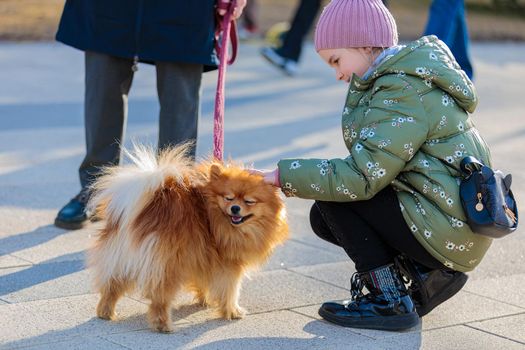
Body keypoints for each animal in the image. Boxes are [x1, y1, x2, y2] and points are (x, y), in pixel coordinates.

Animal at [87, 144, 288, 332]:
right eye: (229, 198)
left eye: (249, 201)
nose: (235, 209)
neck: (211, 212)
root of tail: (141, 213)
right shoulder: (228, 265)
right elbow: (231, 291)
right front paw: (233, 312)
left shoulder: (202, 257)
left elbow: (204, 282)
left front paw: (205, 300)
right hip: (167, 265)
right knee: (159, 297)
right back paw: (163, 325)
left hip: (121, 260)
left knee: (112, 287)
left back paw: (105, 313)